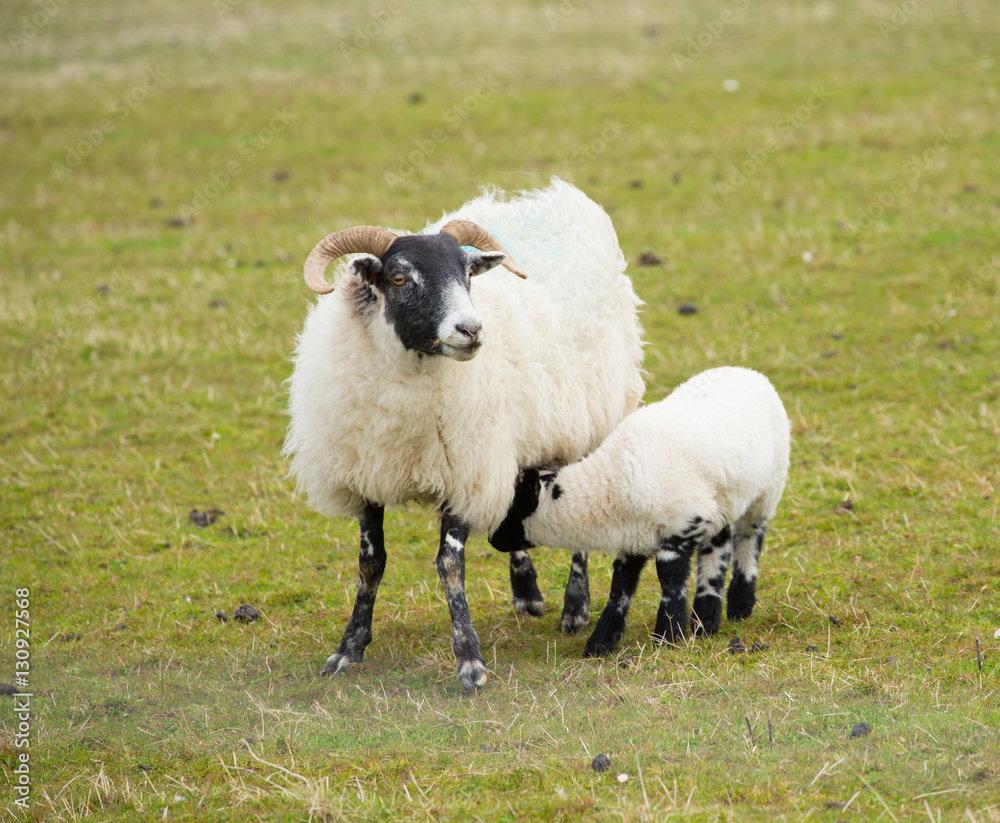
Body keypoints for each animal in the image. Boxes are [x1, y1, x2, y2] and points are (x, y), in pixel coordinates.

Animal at [283, 180, 645, 688]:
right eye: (399, 278)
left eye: (467, 274)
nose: (471, 329)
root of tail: (550, 199)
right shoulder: (366, 472)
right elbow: (370, 564)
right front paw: (348, 648)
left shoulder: (463, 470)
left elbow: (450, 565)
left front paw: (469, 660)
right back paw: (526, 592)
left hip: (587, 420)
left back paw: (575, 608)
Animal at [489, 366, 790, 657]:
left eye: (512, 508)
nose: (492, 540)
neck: (611, 482)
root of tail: (751, 373)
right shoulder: (635, 537)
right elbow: (620, 584)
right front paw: (601, 642)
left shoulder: (683, 524)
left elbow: (670, 579)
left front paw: (668, 635)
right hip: (720, 501)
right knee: (719, 545)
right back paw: (705, 621)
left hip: (768, 488)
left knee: (749, 536)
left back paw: (739, 604)